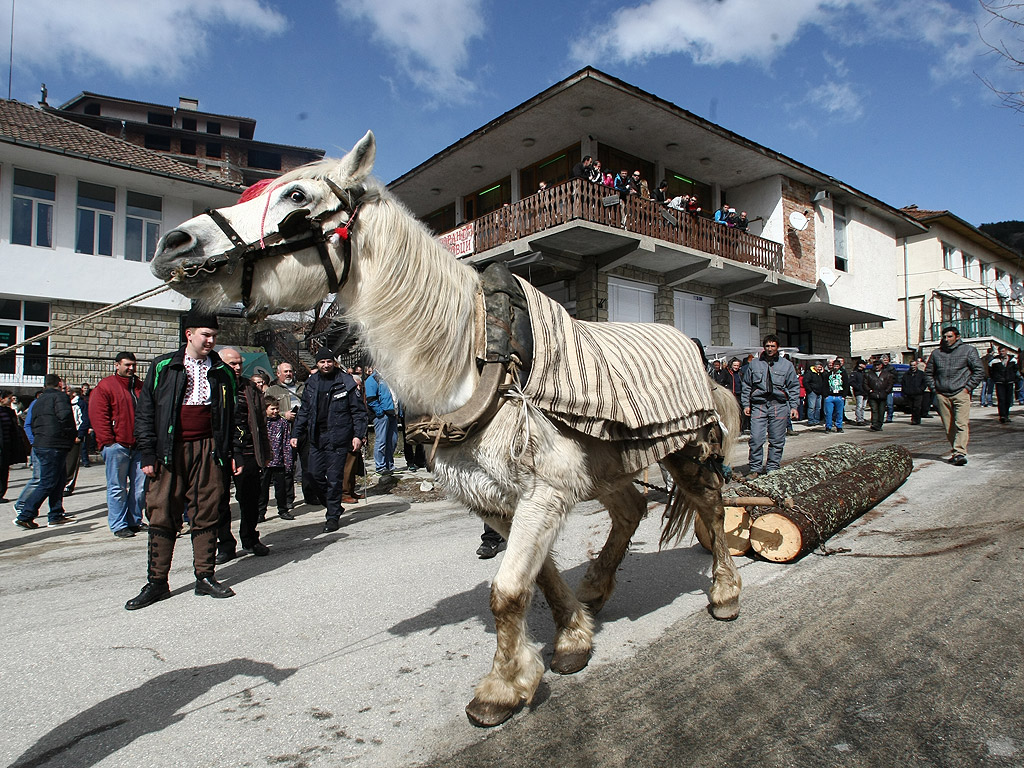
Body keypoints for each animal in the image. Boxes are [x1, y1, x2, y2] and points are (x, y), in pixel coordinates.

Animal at [151, 131, 741, 729]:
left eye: (296, 195)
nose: (174, 243)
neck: (474, 356)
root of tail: (693, 346)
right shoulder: (493, 497)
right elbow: (537, 578)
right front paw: (571, 638)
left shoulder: (544, 491)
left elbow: (508, 590)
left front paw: (501, 689)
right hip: (609, 462)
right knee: (631, 509)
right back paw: (597, 588)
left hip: (686, 451)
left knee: (710, 506)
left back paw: (724, 594)